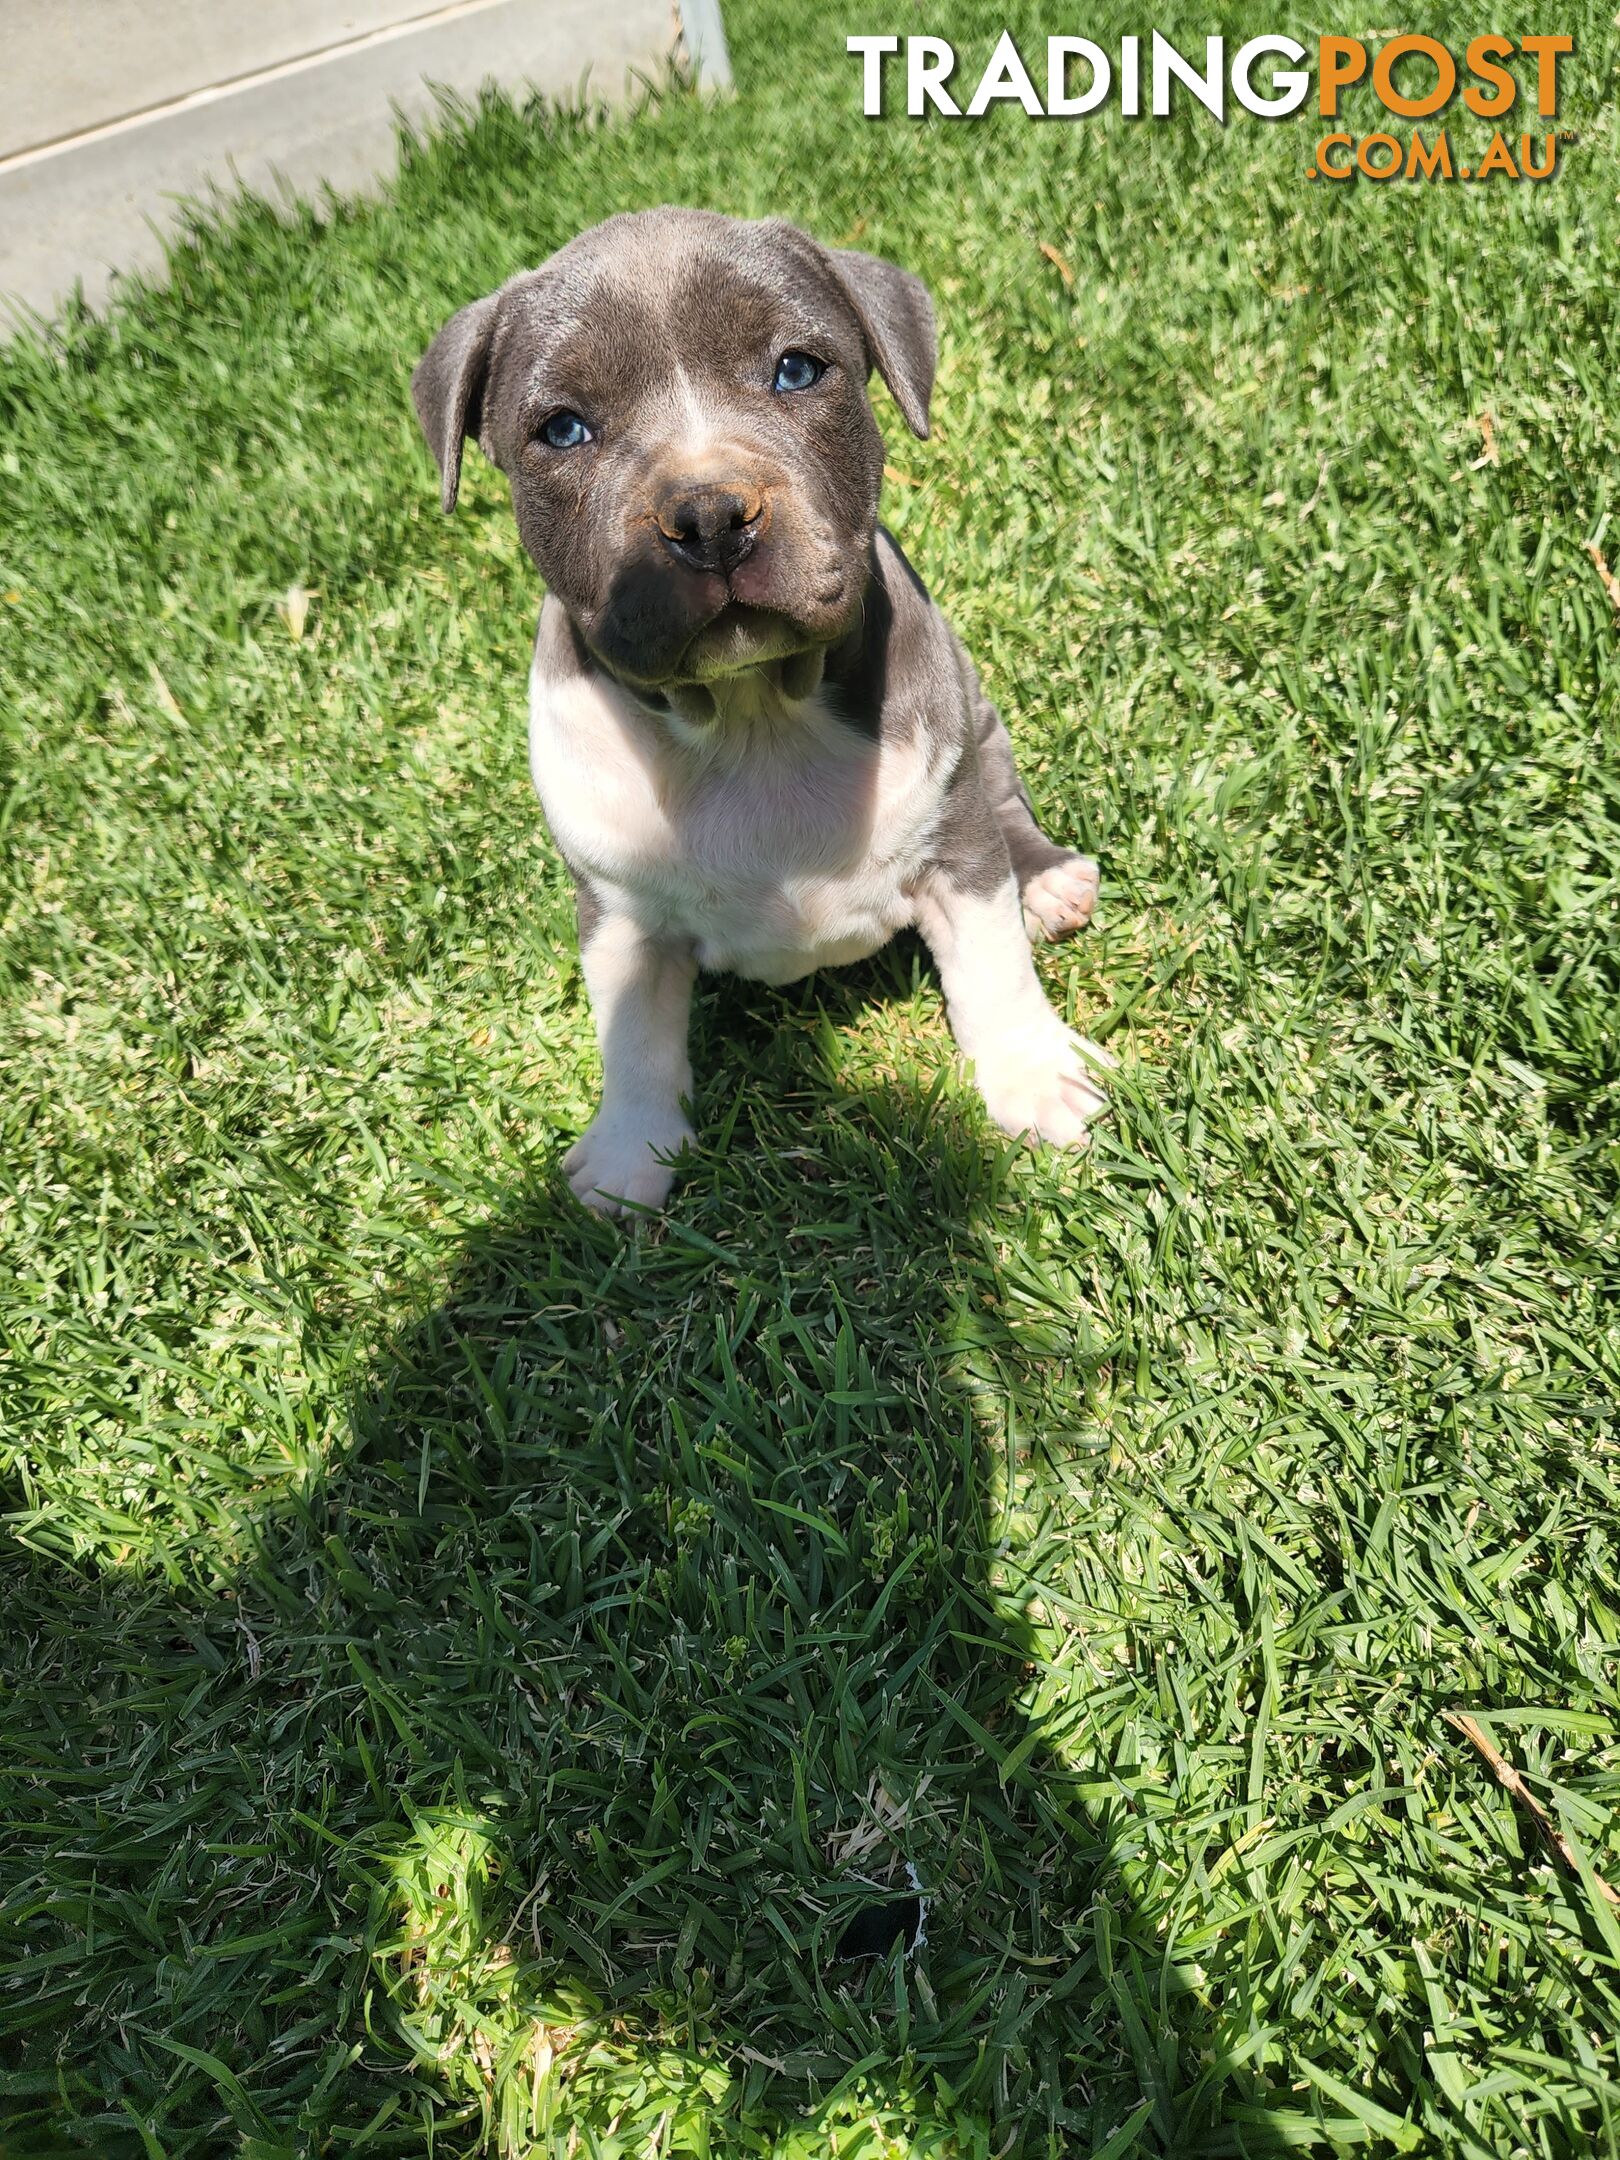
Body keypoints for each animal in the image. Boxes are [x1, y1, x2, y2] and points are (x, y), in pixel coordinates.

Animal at [412, 206, 1114, 1218]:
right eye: (564, 429)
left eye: (797, 370)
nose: (709, 515)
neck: (751, 715)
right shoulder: (618, 912)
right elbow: (631, 1039)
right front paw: (628, 1153)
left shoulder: (956, 848)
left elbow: (993, 968)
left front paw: (1033, 1077)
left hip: (980, 722)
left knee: (1004, 799)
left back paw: (1048, 879)